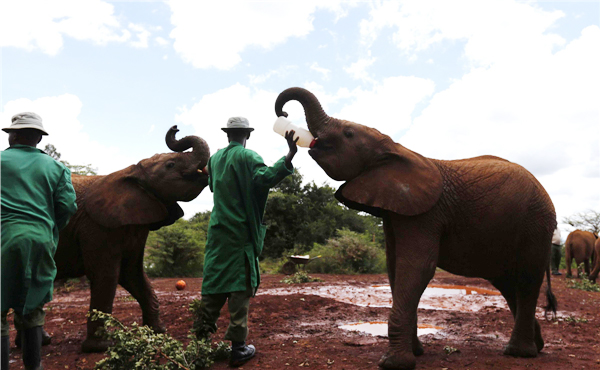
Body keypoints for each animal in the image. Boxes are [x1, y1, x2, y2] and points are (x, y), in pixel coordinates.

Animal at [276, 87, 556, 370]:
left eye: (348, 133)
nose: (284, 116)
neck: (395, 148)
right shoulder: (395, 212)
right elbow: (395, 269)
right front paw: (416, 353)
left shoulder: (425, 214)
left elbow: (417, 267)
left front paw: (393, 363)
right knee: (507, 283)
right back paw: (537, 345)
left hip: (536, 224)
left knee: (526, 279)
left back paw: (519, 353)